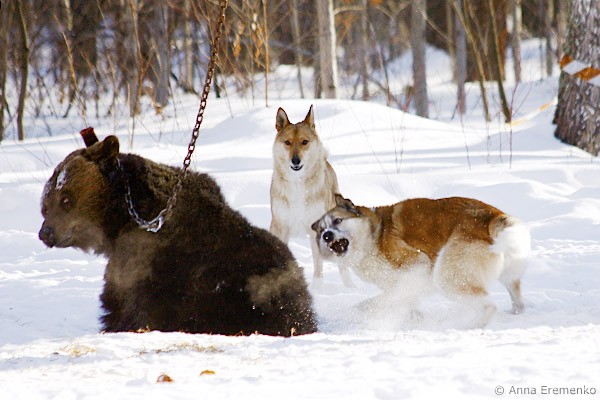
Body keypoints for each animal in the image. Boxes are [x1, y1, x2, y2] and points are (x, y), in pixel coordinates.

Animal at [38, 128, 317, 336]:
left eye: (65, 198)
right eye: (47, 202)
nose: (45, 233)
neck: (122, 217)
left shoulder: (145, 261)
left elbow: (127, 306)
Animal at [270, 106, 354, 288]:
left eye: (304, 142)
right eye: (287, 142)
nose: (295, 160)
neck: (297, 184)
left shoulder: (316, 229)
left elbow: (319, 265)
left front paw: (317, 288)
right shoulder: (280, 227)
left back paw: (350, 287)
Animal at [311, 194, 530, 328]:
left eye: (337, 221)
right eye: (321, 230)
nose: (327, 236)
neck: (374, 235)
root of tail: (493, 216)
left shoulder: (416, 267)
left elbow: (376, 302)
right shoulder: (406, 286)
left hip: (447, 277)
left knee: (488, 307)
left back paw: (465, 327)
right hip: (507, 276)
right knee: (518, 302)